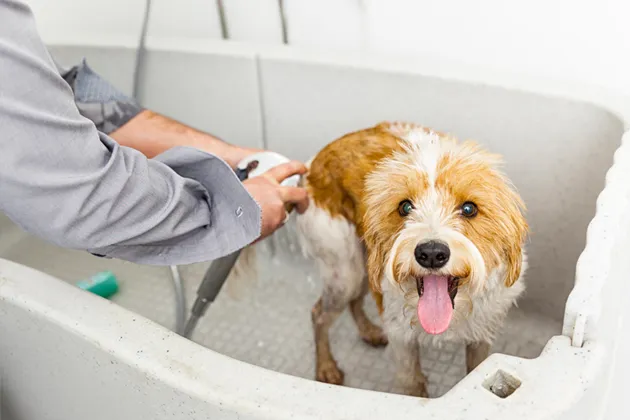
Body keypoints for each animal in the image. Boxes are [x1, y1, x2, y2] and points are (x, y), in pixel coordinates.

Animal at [292, 121, 532, 398]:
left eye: (469, 208)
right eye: (405, 207)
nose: (431, 253)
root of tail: (312, 165)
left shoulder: (482, 332)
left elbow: (475, 368)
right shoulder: (402, 338)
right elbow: (412, 383)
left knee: (353, 301)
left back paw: (369, 332)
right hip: (345, 270)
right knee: (319, 313)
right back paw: (326, 367)